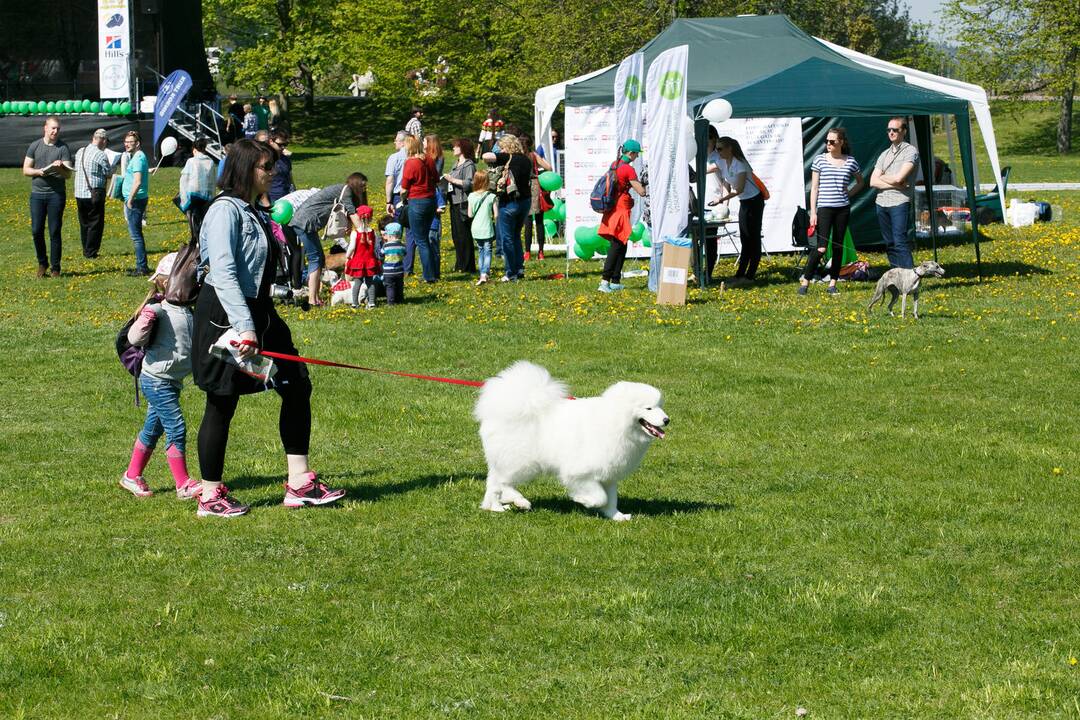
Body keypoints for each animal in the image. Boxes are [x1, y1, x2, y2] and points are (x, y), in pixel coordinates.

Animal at [473, 362, 665, 520]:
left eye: (660, 406)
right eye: (649, 408)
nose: (667, 420)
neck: (616, 421)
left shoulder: (609, 474)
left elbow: (611, 499)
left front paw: (617, 516)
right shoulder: (579, 473)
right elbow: (600, 497)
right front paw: (583, 500)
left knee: (494, 483)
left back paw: (496, 507)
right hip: (523, 462)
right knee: (503, 482)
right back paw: (519, 500)